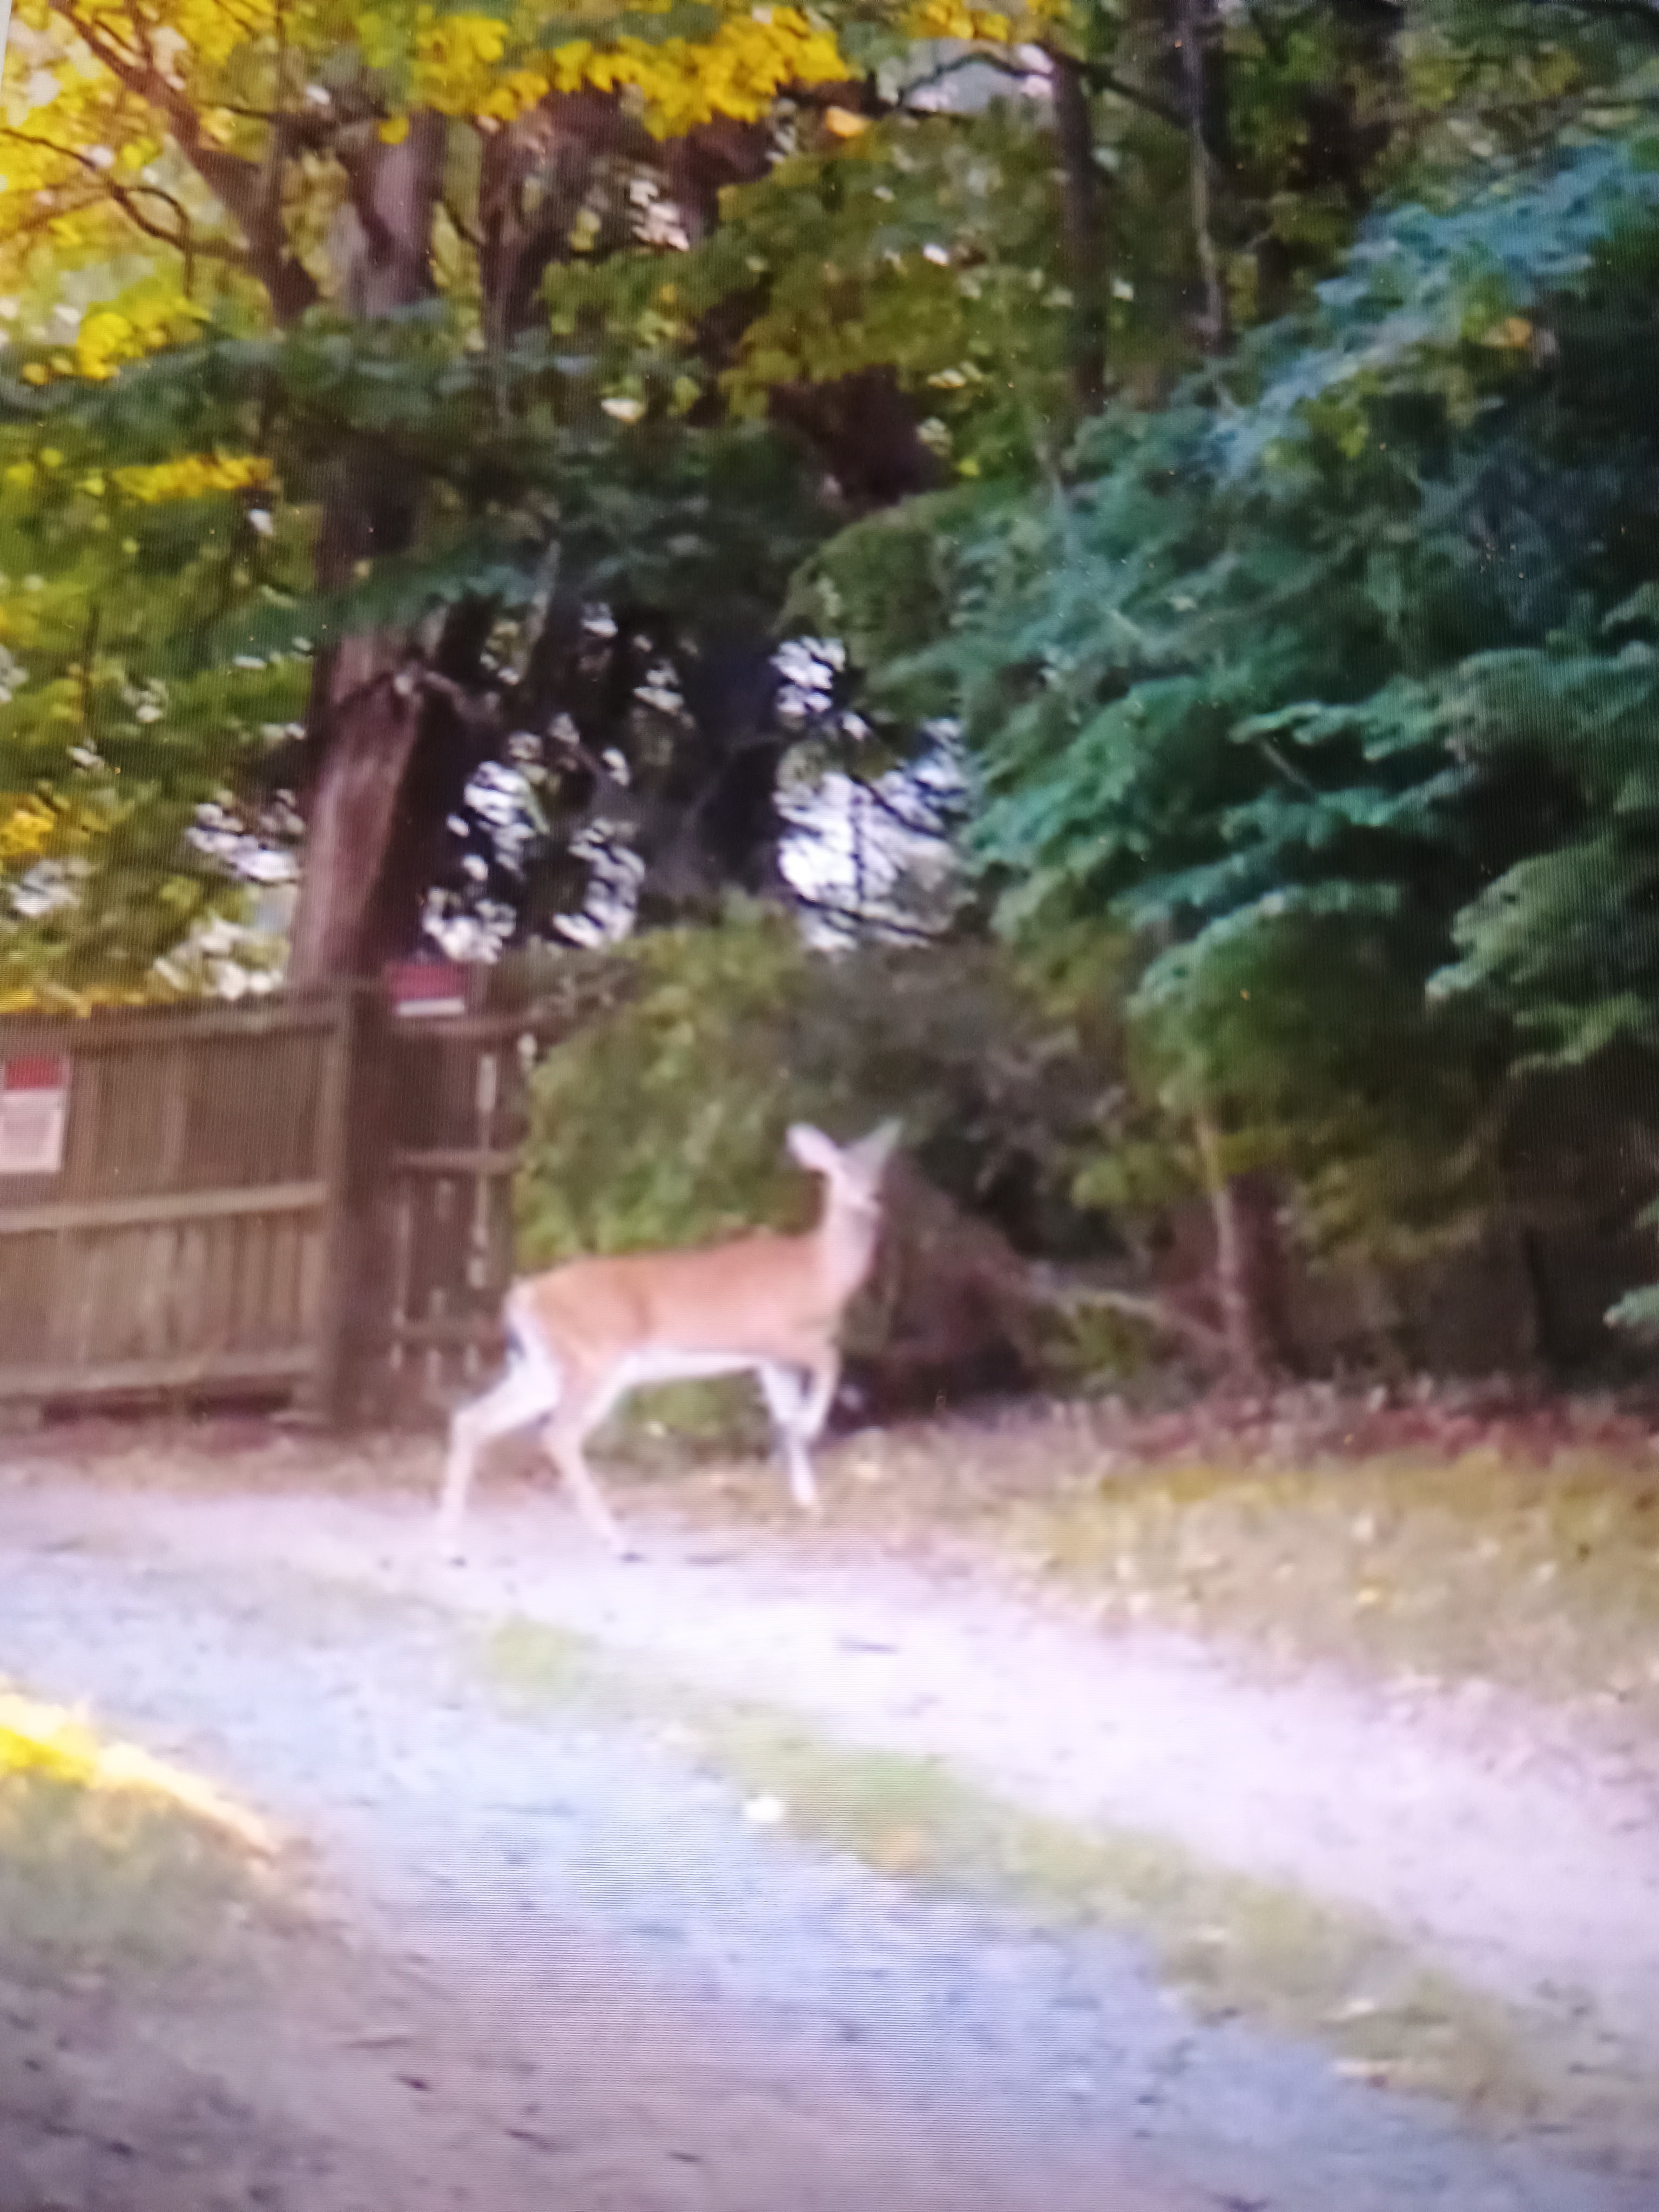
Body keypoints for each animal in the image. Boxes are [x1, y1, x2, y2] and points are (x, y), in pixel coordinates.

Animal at [436, 1120, 902, 1561]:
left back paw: (451, 1546)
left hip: (543, 1367)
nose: (874, 1198)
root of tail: (524, 1296)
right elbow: (832, 1361)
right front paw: (811, 1429)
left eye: (878, 1168)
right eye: (840, 1168)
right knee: (559, 1434)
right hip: (596, 1360)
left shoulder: (769, 1360)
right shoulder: (778, 1335)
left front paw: (809, 1504)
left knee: (473, 1419)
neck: (819, 1274)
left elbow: (784, 1419)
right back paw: (618, 1543)